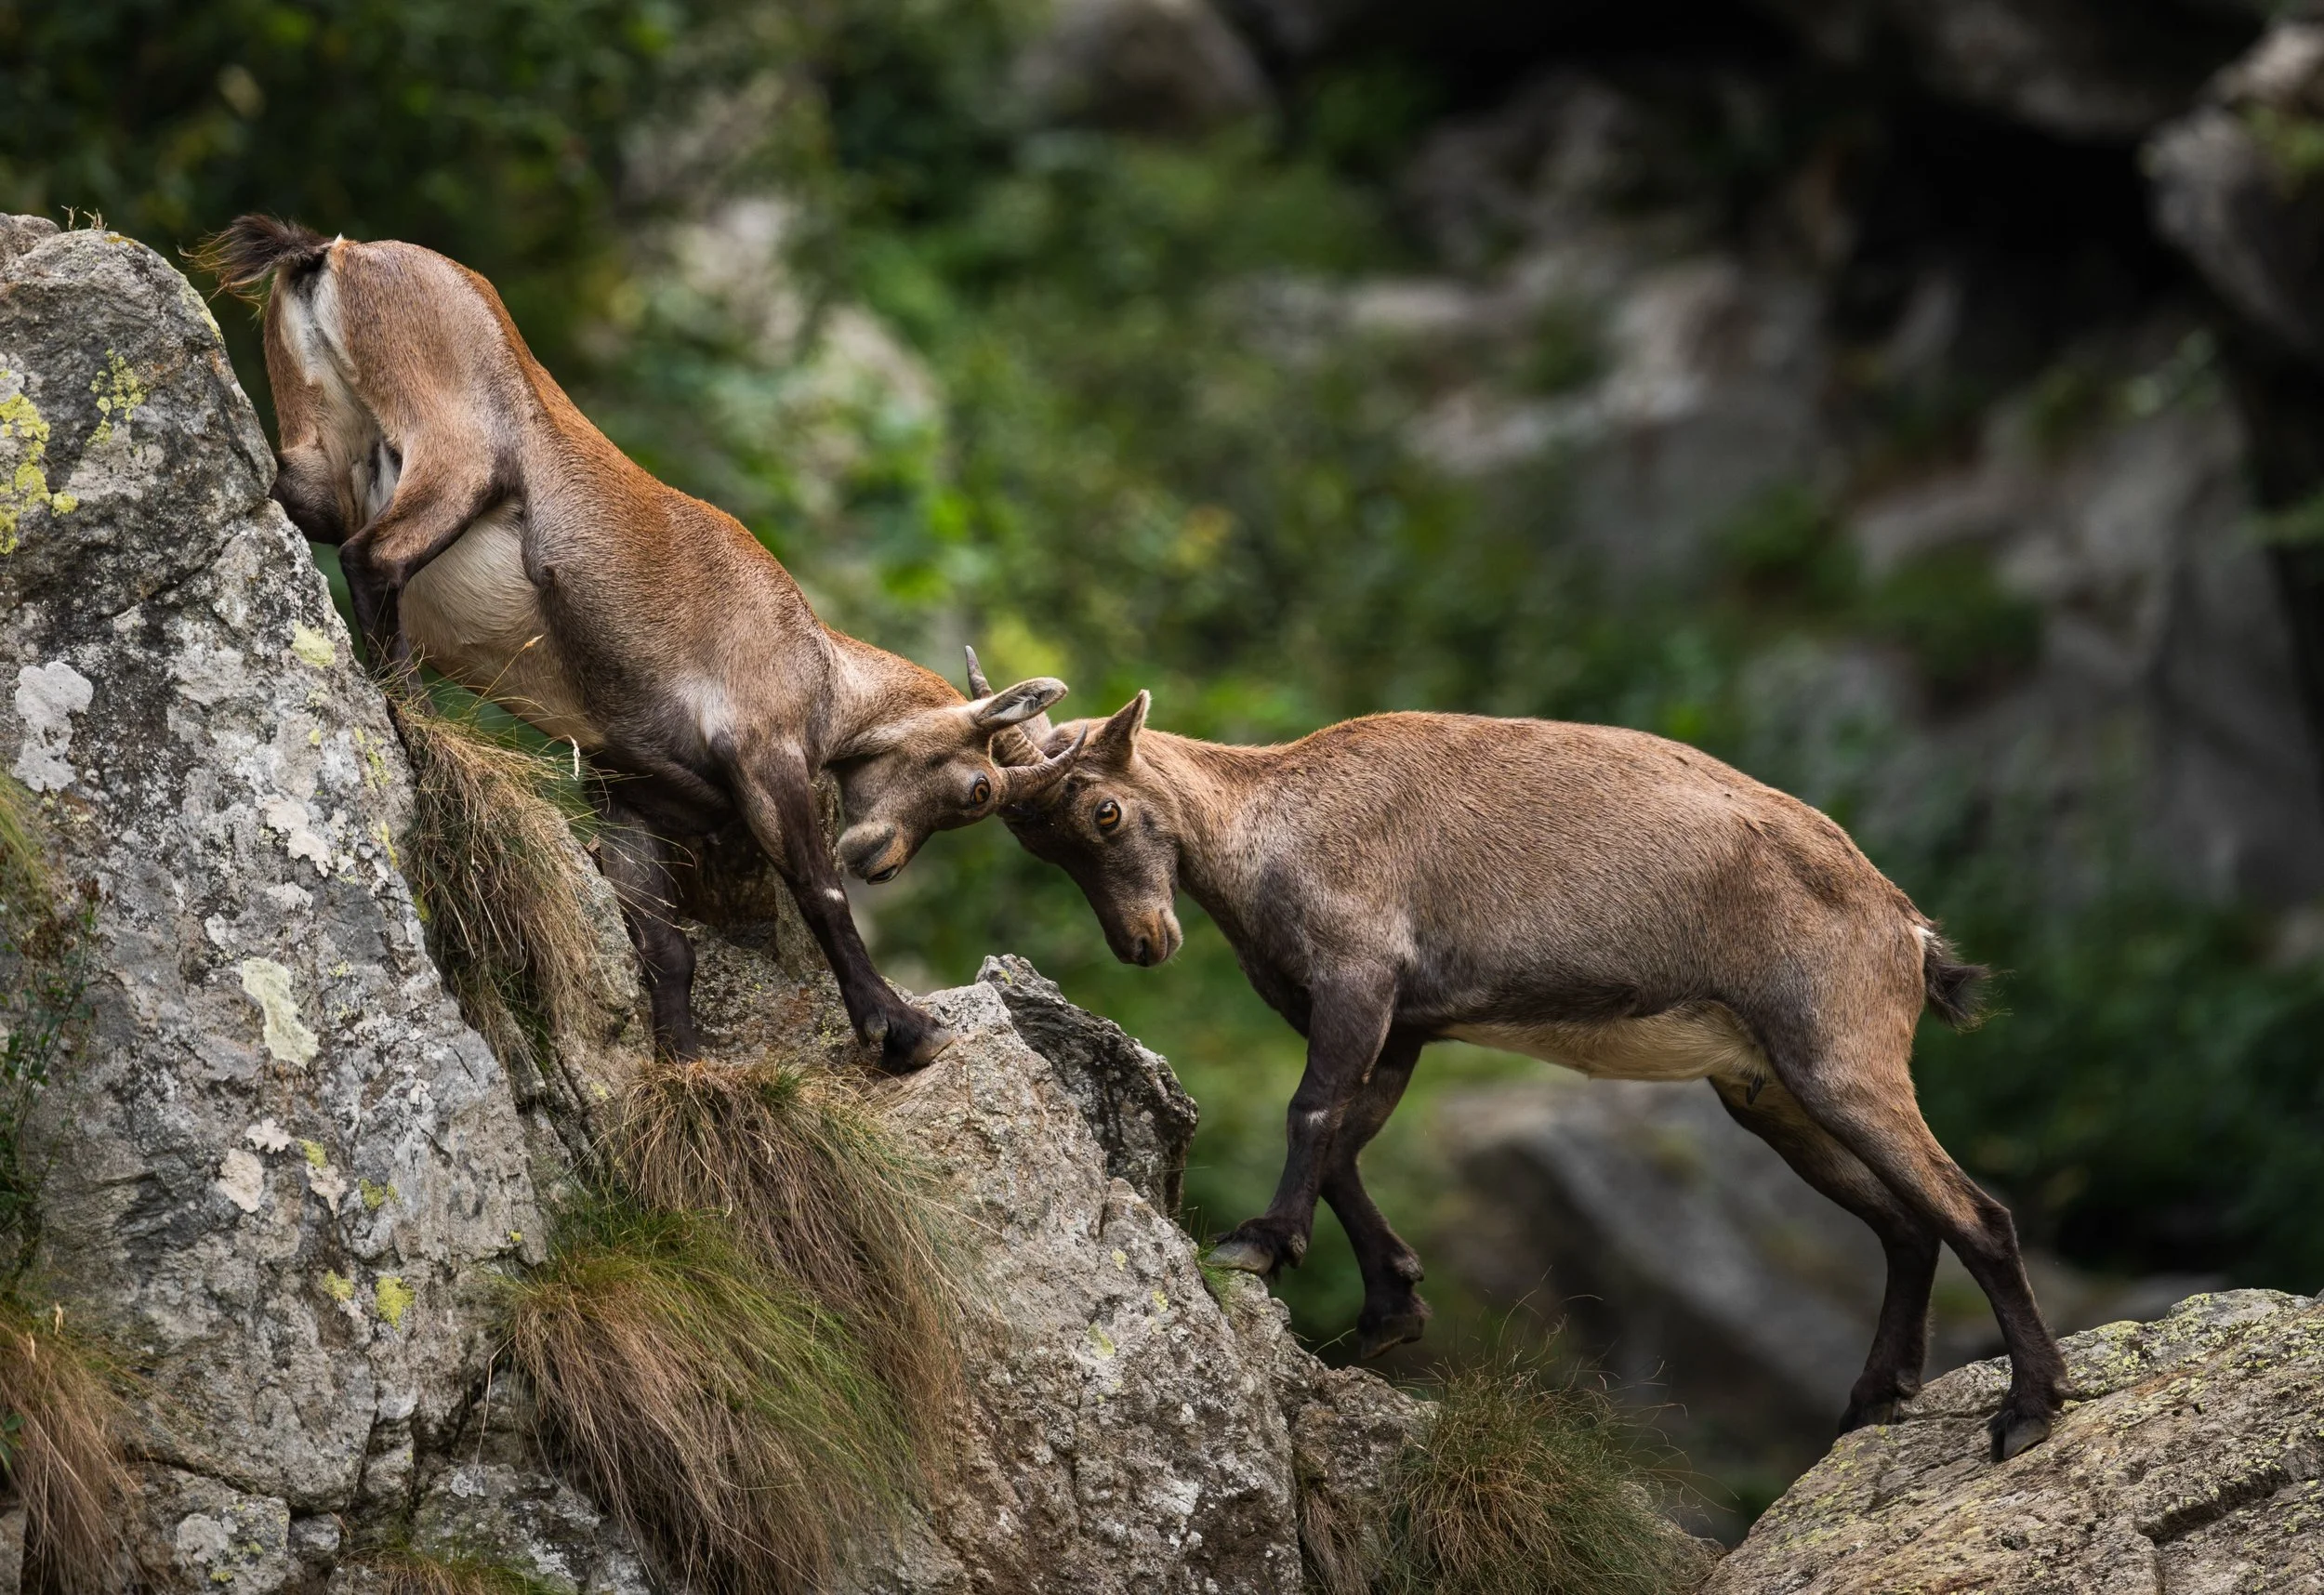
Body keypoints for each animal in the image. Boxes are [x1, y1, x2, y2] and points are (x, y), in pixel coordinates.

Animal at [198, 215, 1082, 1069]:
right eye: (979, 789)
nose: (884, 862)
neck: (823, 670)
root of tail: (333, 255)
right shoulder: (762, 746)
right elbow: (818, 891)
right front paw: (902, 1030)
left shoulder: (623, 793)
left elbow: (666, 946)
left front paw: (687, 1064)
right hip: (458, 450)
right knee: (372, 558)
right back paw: (418, 719)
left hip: (320, 448)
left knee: (299, 501)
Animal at [996, 693, 2066, 1461]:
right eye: (1036, 842)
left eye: (1104, 809)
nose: (1144, 942)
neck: (1275, 822)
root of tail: (1908, 931)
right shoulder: (1401, 1030)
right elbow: (1345, 1143)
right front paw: (1392, 1307)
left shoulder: (1359, 978)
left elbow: (1312, 1114)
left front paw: (1259, 1245)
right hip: (1771, 1094)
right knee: (1905, 1227)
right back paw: (1872, 1402)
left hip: (1841, 1060)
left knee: (1976, 1216)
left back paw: (2027, 1411)